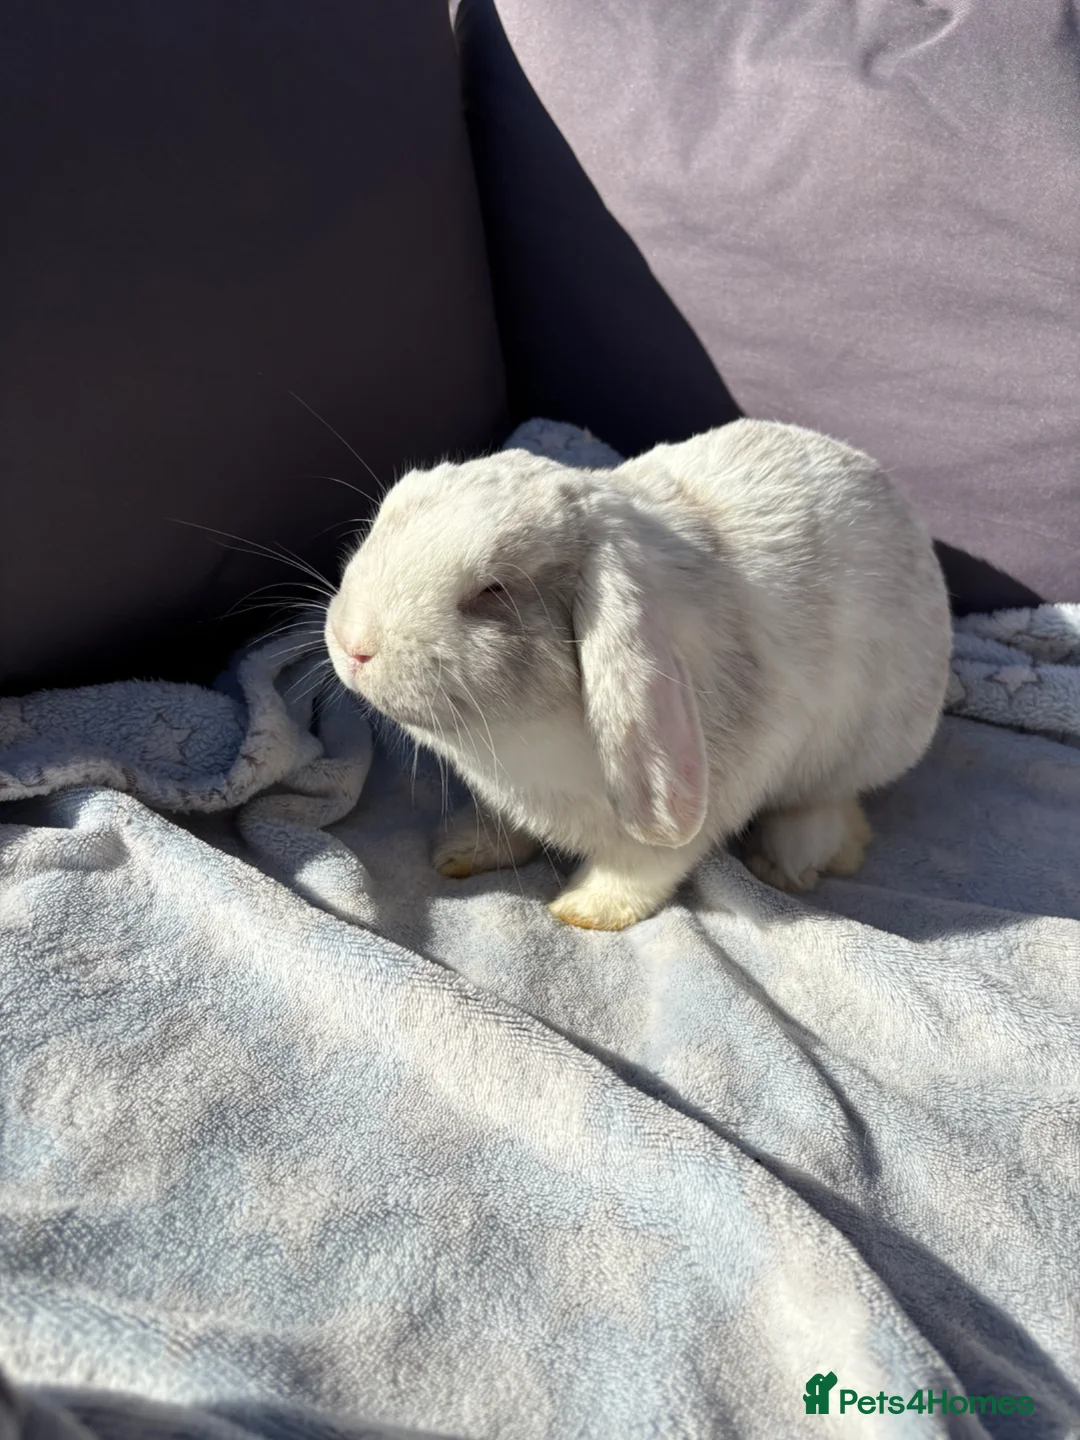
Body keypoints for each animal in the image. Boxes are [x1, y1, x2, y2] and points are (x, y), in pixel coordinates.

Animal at [324, 419, 952, 930]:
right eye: (384, 519)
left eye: (492, 591)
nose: (354, 645)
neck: (520, 744)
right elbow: (503, 827)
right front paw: (458, 851)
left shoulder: (697, 805)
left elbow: (643, 867)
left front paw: (584, 910)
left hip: (857, 749)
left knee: (828, 806)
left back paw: (788, 862)